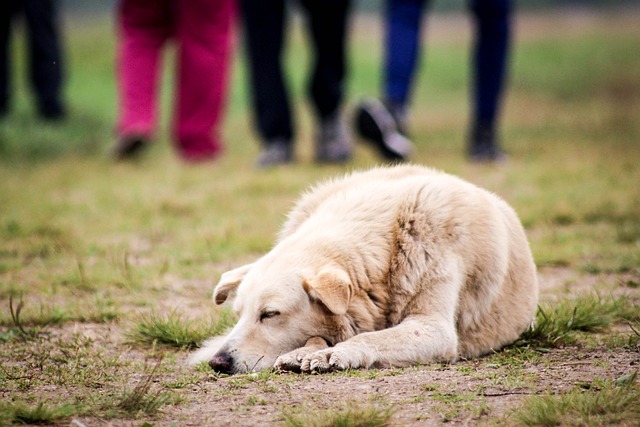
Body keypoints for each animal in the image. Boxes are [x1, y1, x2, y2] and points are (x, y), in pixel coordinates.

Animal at [191, 166, 540, 372]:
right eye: (239, 315)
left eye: (270, 314)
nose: (218, 362)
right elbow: (320, 336)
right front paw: (307, 351)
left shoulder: (434, 329)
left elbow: (370, 338)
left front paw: (331, 352)